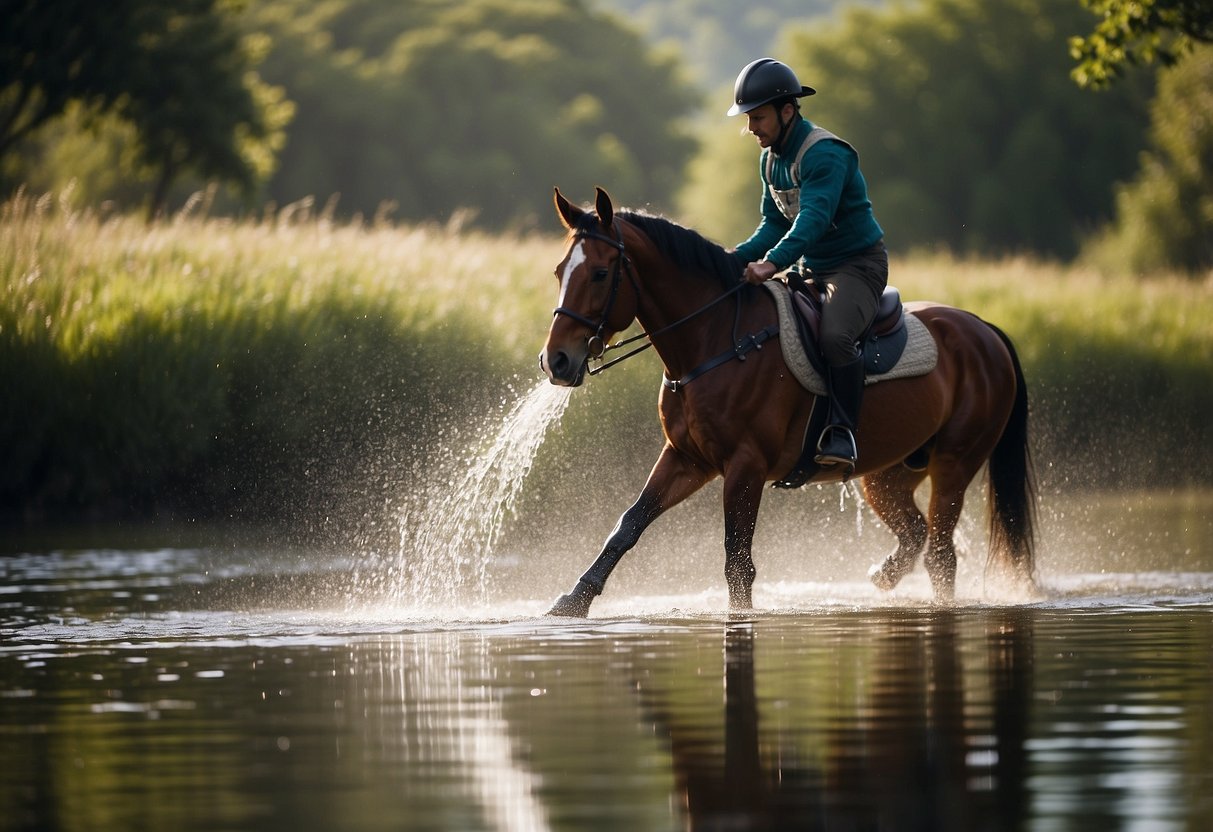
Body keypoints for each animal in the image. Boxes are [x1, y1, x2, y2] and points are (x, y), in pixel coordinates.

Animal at [540, 190, 1033, 618]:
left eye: (600, 273)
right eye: (560, 271)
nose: (556, 360)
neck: (715, 339)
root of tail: (983, 328)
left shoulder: (745, 466)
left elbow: (737, 559)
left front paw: (741, 615)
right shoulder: (687, 459)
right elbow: (628, 525)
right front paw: (571, 602)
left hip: (954, 465)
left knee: (941, 555)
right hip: (887, 476)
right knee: (916, 534)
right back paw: (886, 576)